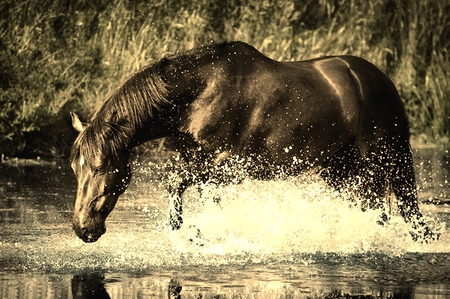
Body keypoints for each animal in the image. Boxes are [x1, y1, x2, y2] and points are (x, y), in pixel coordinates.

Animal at [69, 41, 436, 245]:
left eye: (100, 167)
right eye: (75, 168)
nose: (82, 228)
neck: (199, 95)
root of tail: (379, 79)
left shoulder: (225, 168)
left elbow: (174, 181)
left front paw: (184, 230)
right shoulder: (207, 170)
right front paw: (203, 236)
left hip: (378, 162)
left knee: (388, 210)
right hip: (339, 170)